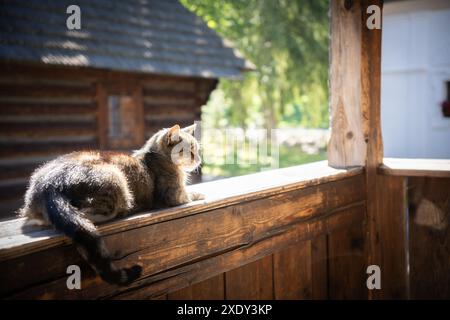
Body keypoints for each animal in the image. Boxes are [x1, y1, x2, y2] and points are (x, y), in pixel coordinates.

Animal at [19, 124, 204, 286]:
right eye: (190, 150)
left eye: (197, 150)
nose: (199, 160)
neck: (156, 155)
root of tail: (49, 185)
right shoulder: (174, 195)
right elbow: (190, 193)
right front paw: (200, 194)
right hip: (115, 179)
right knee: (88, 215)